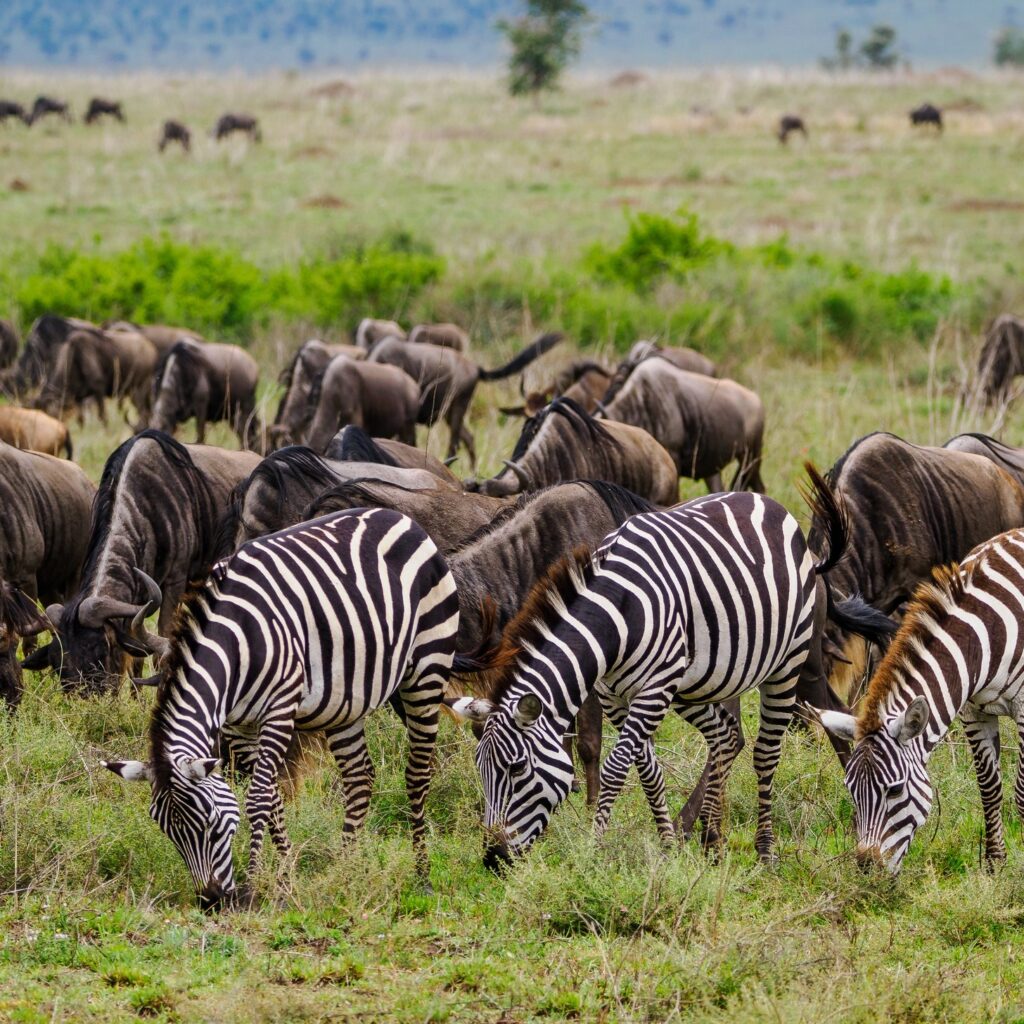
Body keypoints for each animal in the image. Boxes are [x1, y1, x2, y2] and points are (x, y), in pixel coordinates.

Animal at [101, 507, 460, 909]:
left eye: (211, 823)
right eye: (166, 831)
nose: (211, 902)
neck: (236, 647)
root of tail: (398, 516)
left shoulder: (279, 711)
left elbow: (258, 798)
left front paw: (253, 885)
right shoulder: (237, 725)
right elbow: (273, 798)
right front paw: (287, 882)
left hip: (428, 666)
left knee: (417, 773)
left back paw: (422, 875)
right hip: (345, 701)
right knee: (359, 777)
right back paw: (347, 870)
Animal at [449, 468, 896, 868]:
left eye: (516, 769)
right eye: (481, 771)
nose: (493, 859)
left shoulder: (643, 690)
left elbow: (610, 761)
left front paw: (594, 843)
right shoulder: (617, 693)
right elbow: (647, 768)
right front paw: (665, 846)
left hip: (792, 664)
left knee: (783, 742)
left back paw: (772, 847)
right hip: (709, 677)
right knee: (731, 735)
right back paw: (708, 837)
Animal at [816, 527, 1024, 874]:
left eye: (895, 789)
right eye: (850, 789)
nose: (867, 869)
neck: (983, 637)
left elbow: (1021, 793)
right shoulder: (972, 710)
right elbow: (989, 788)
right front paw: (995, 866)